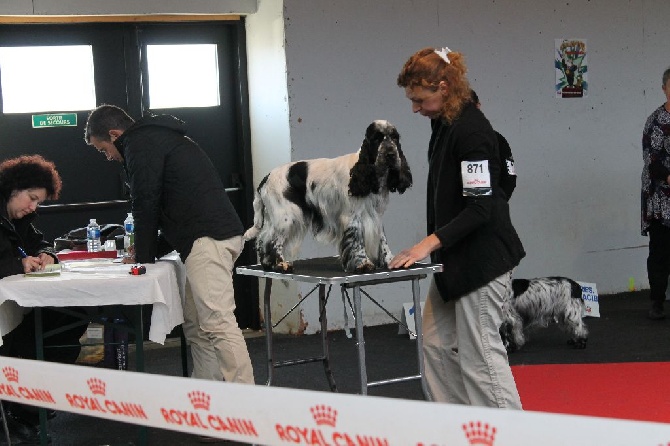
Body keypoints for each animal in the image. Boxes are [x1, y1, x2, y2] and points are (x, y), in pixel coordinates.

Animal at [244, 119, 412, 272]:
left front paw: (390, 260)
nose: (391, 154)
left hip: (274, 216)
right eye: (377, 138)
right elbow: (357, 241)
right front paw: (363, 264)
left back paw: (268, 263)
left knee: (264, 238)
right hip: (287, 216)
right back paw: (280, 264)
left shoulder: (376, 215)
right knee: (274, 241)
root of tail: (266, 178)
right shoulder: (352, 217)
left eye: (395, 138)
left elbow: (382, 240)